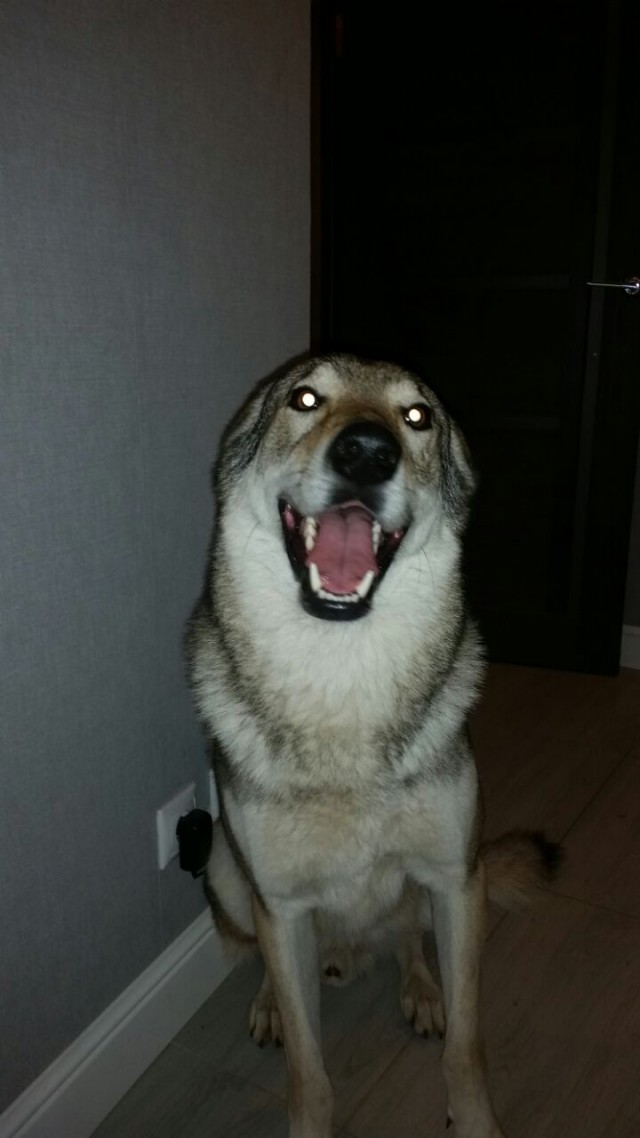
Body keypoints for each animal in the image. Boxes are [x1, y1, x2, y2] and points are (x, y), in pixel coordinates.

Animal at [186, 354, 560, 1137]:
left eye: (417, 416)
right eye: (304, 398)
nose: (365, 451)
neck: (342, 681)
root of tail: (346, 951)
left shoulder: (455, 877)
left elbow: (467, 1050)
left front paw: (473, 1117)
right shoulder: (280, 905)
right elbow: (309, 1073)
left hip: (435, 885)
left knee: (406, 938)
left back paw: (421, 991)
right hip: (229, 874)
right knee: (271, 961)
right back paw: (271, 1003)